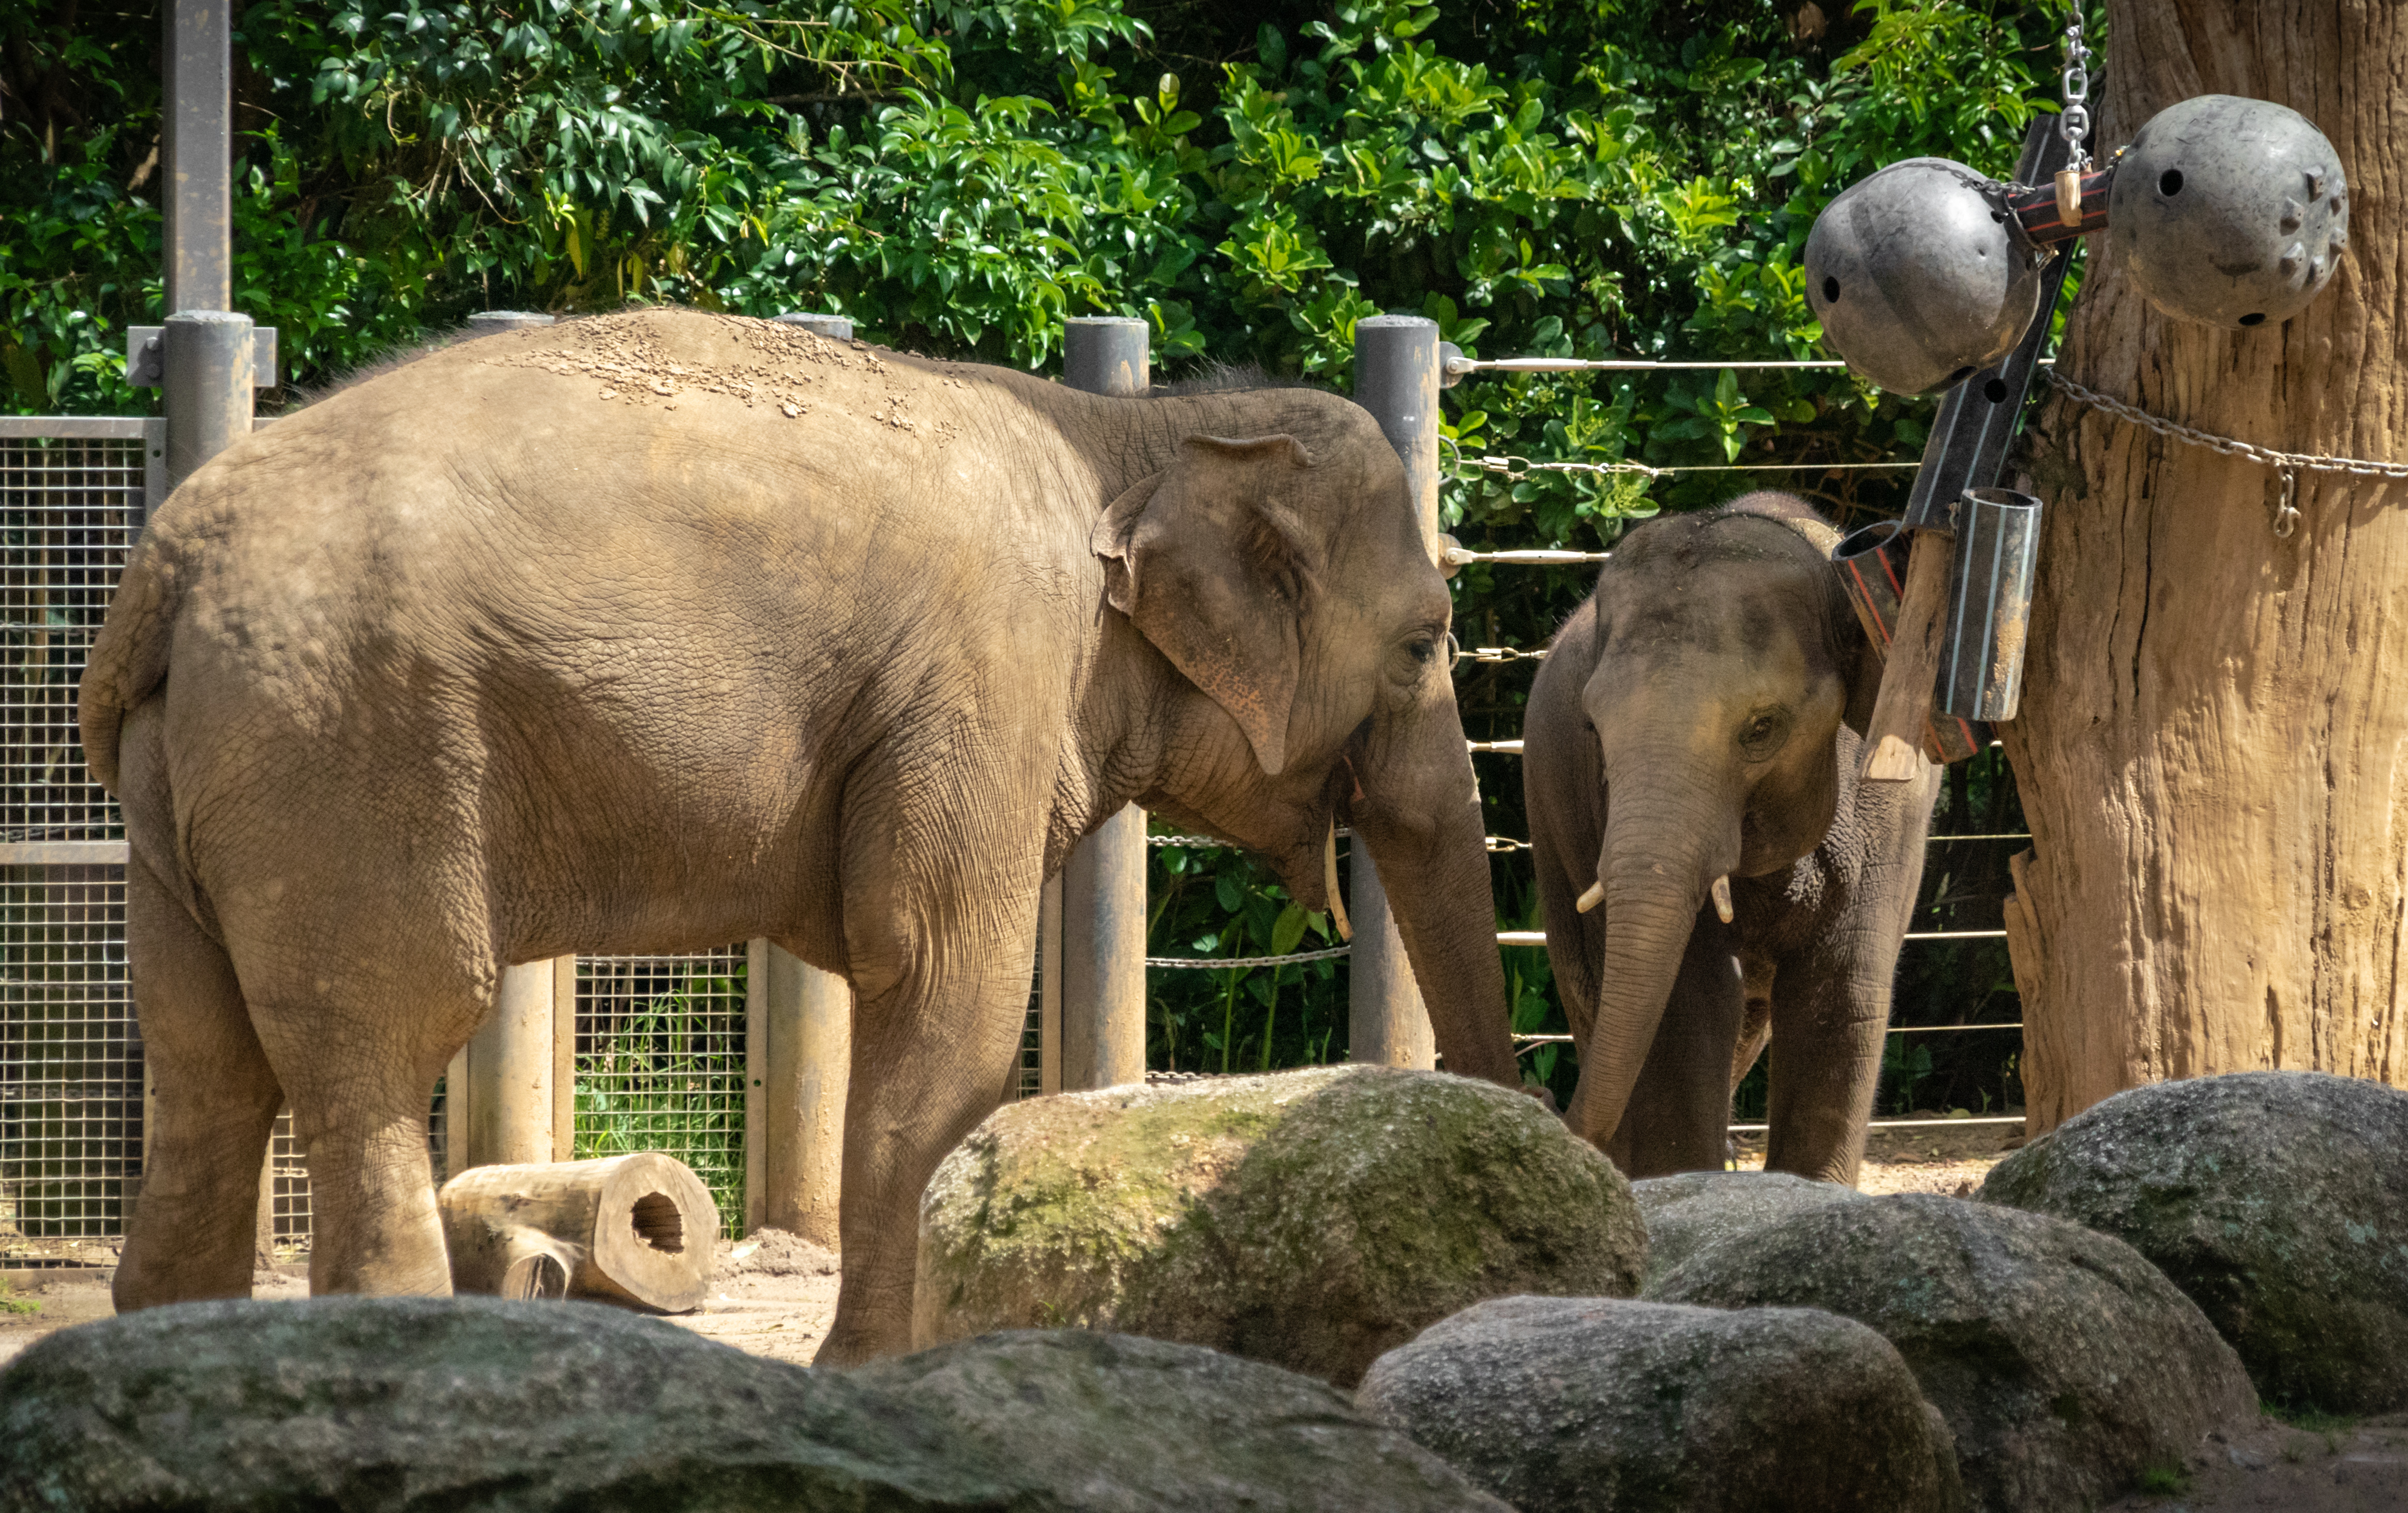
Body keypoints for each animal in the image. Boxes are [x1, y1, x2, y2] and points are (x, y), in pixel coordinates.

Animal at [77, 308, 1519, 1365]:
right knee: (384, 1037)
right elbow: (945, 998)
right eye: (1424, 644)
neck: (1143, 430)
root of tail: (162, 566)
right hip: (349, 749)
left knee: (206, 1065)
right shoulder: (984, 681)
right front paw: (881, 1373)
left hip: (196, 782)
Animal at [1522, 491, 1939, 1185]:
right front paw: (1686, 1185)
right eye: (1593, 730)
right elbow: (1690, 1010)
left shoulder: (1893, 805)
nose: (1544, 1100)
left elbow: (1841, 995)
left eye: (1761, 728)